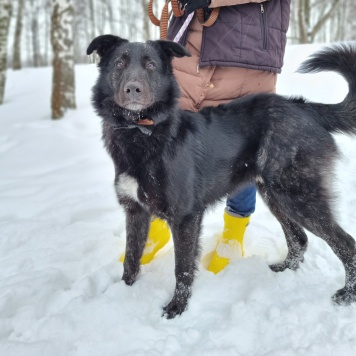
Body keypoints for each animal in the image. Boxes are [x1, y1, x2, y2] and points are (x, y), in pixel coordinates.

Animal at [86, 35, 356, 320]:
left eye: (150, 65)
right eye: (119, 63)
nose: (133, 89)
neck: (140, 132)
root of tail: (306, 108)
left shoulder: (185, 217)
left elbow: (182, 268)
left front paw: (177, 308)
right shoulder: (135, 211)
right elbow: (131, 257)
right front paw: (123, 291)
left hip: (298, 196)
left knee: (346, 243)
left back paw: (347, 295)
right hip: (276, 195)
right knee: (299, 239)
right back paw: (285, 270)